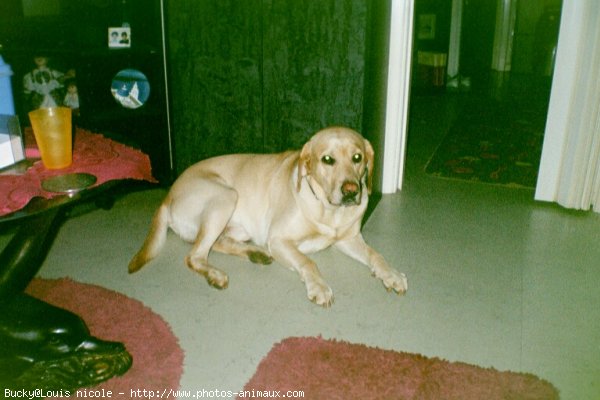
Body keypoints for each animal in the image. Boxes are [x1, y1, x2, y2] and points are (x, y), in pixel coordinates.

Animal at [127, 126, 408, 304]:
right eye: (327, 159)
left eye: (357, 157)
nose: (351, 191)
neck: (329, 211)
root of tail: (167, 196)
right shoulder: (279, 240)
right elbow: (308, 262)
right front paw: (319, 286)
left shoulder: (348, 239)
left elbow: (376, 255)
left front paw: (391, 274)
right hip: (225, 196)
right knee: (195, 255)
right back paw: (216, 274)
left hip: (236, 224)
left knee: (215, 244)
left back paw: (256, 254)